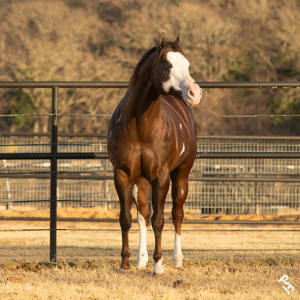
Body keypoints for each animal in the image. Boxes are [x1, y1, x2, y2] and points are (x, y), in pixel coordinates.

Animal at [106, 32, 203, 274]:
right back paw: (141, 260)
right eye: (167, 64)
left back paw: (177, 258)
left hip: (181, 176)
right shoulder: (122, 174)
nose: (195, 93)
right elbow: (126, 218)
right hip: (141, 180)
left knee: (177, 214)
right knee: (142, 216)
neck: (140, 125)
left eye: (187, 64)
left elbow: (160, 219)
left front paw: (158, 266)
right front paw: (125, 265)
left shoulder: (161, 176)